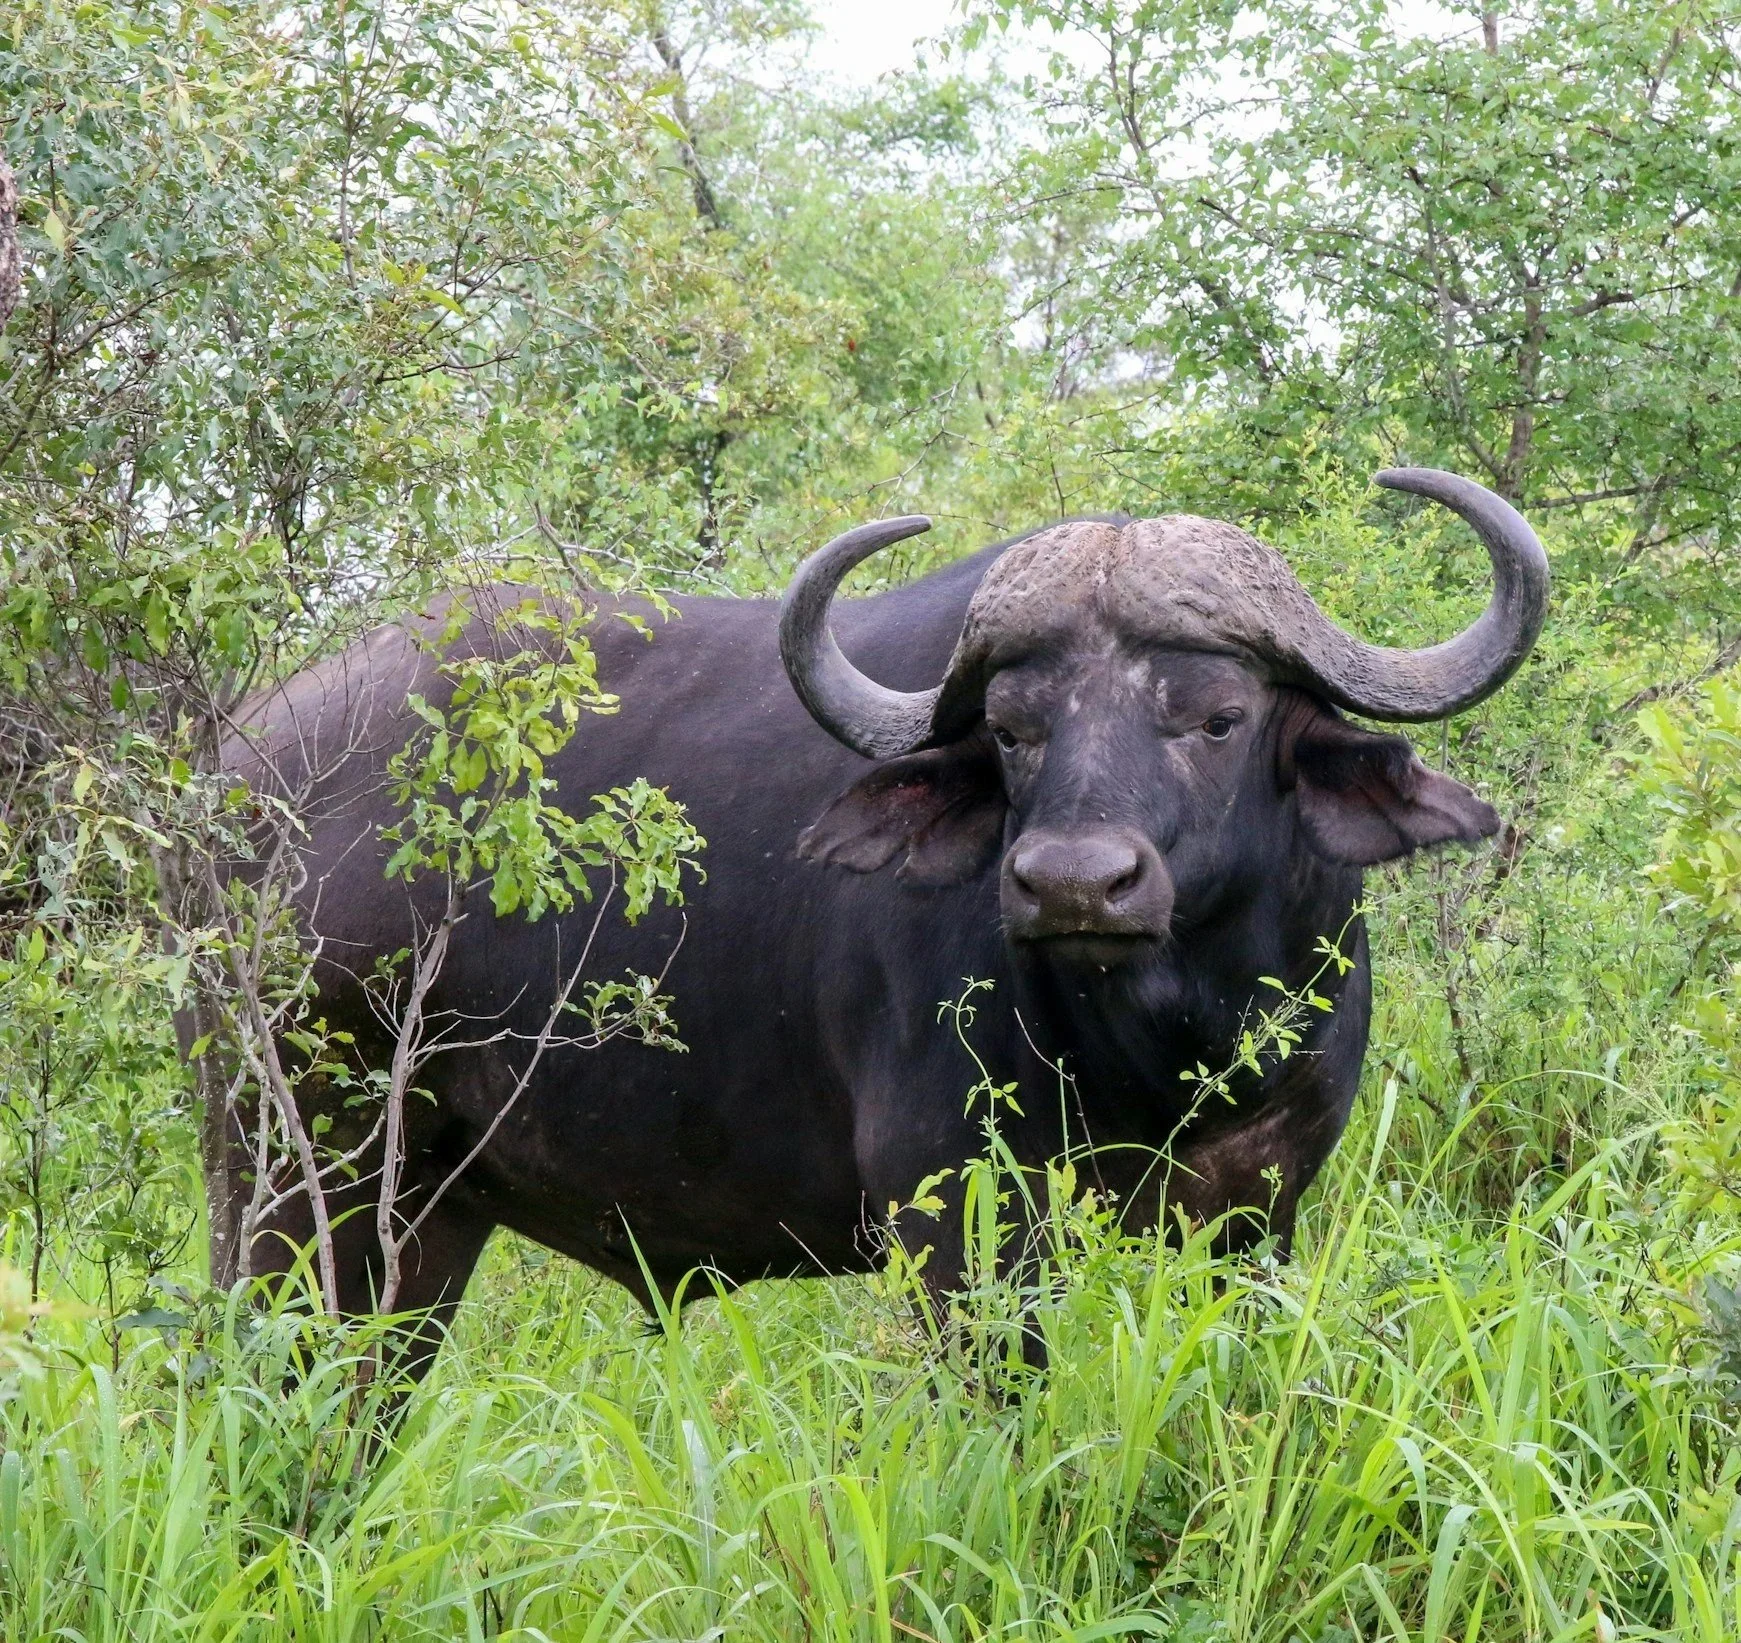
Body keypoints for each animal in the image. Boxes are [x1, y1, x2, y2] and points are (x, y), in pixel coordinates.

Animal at [227, 467, 1546, 1359]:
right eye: (1012, 729)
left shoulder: (1257, 1210)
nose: (1073, 881)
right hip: (293, 1172)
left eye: (1218, 714)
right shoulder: (956, 1217)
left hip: (427, 1222)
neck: (1168, 1039)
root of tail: (251, 761)